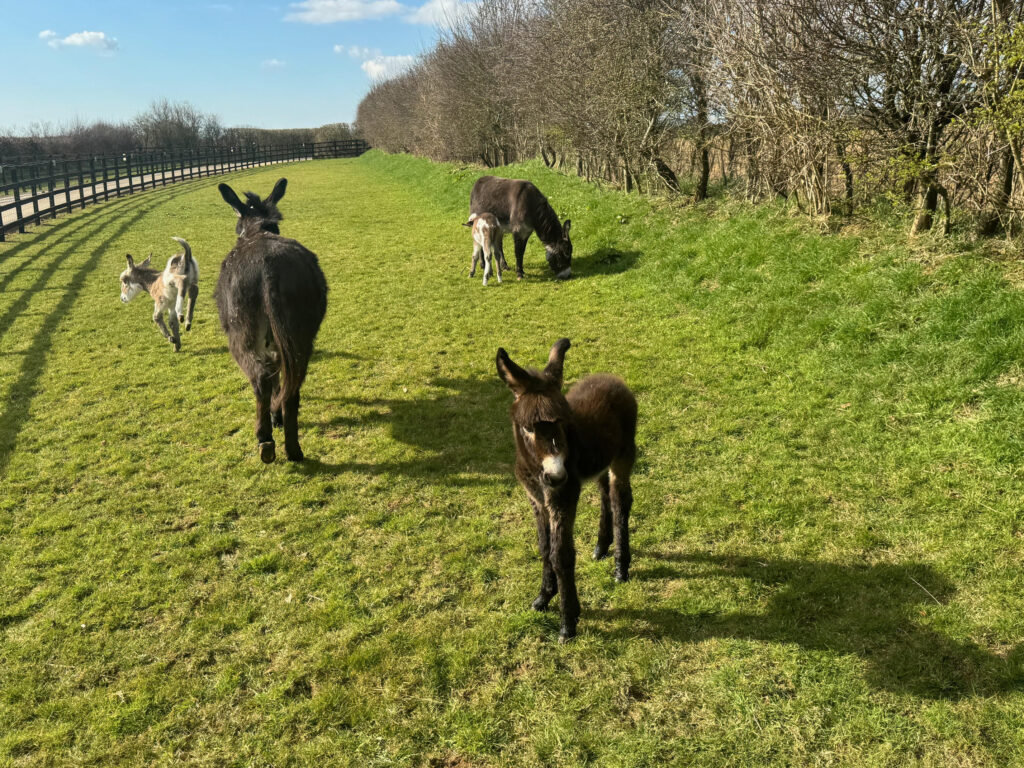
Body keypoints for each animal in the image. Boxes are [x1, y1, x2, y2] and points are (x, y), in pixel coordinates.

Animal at [215, 180, 327, 466]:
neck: (258, 230)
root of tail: (269, 269)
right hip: (301, 334)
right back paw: (293, 448)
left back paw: (265, 439)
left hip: (242, 335)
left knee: (261, 378)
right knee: (293, 384)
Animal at [497, 339, 634, 638]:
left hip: (623, 455)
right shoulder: (537, 501)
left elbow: (561, 554)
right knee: (606, 494)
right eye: (528, 428)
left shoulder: (563, 498)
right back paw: (601, 547)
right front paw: (544, 596)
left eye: (562, 421)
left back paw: (621, 568)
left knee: (621, 501)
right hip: (600, 462)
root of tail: (611, 378)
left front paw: (568, 621)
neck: (536, 472)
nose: (557, 475)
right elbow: (544, 546)